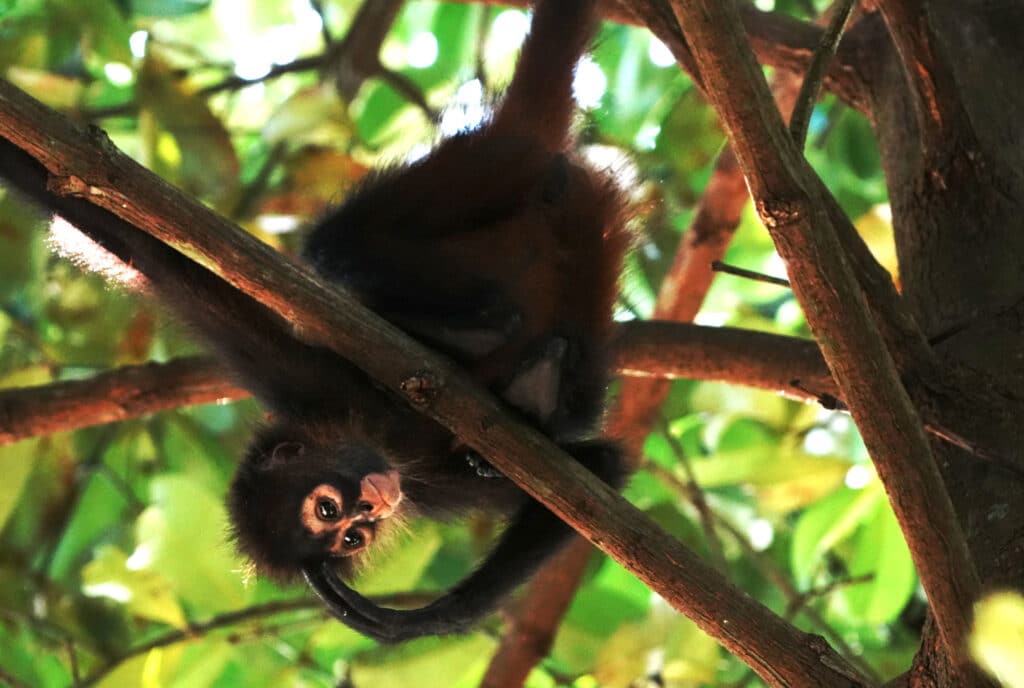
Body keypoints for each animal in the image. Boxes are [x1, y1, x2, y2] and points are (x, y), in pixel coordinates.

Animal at [0, 0, 628, 642]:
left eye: (332, 511)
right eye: (344, 533)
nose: (372, 505)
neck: (381, 434)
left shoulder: (298, 377)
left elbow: (126, 241)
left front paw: (406, 622)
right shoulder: (424, 483)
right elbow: (601, 470)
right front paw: (417, 619)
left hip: (478, 170)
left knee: (332, 245)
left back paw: (475, 326)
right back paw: (534, 378)